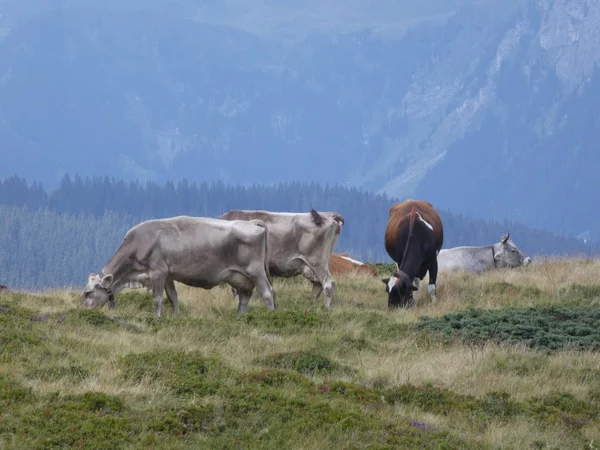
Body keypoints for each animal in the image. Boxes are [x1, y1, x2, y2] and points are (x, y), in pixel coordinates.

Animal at [82, 215, 276, 316]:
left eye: (88, 292)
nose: (83, 310)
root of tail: (252, 222)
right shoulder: (168, 275)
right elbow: (173, 297)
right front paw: (177, 316)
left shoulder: (157, 272)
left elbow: (157, 298)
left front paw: (157, 318)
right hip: (237, 276)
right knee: (245, 295)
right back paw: (240, 317)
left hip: (255, 271)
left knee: (267, 293)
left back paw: (271, 315)